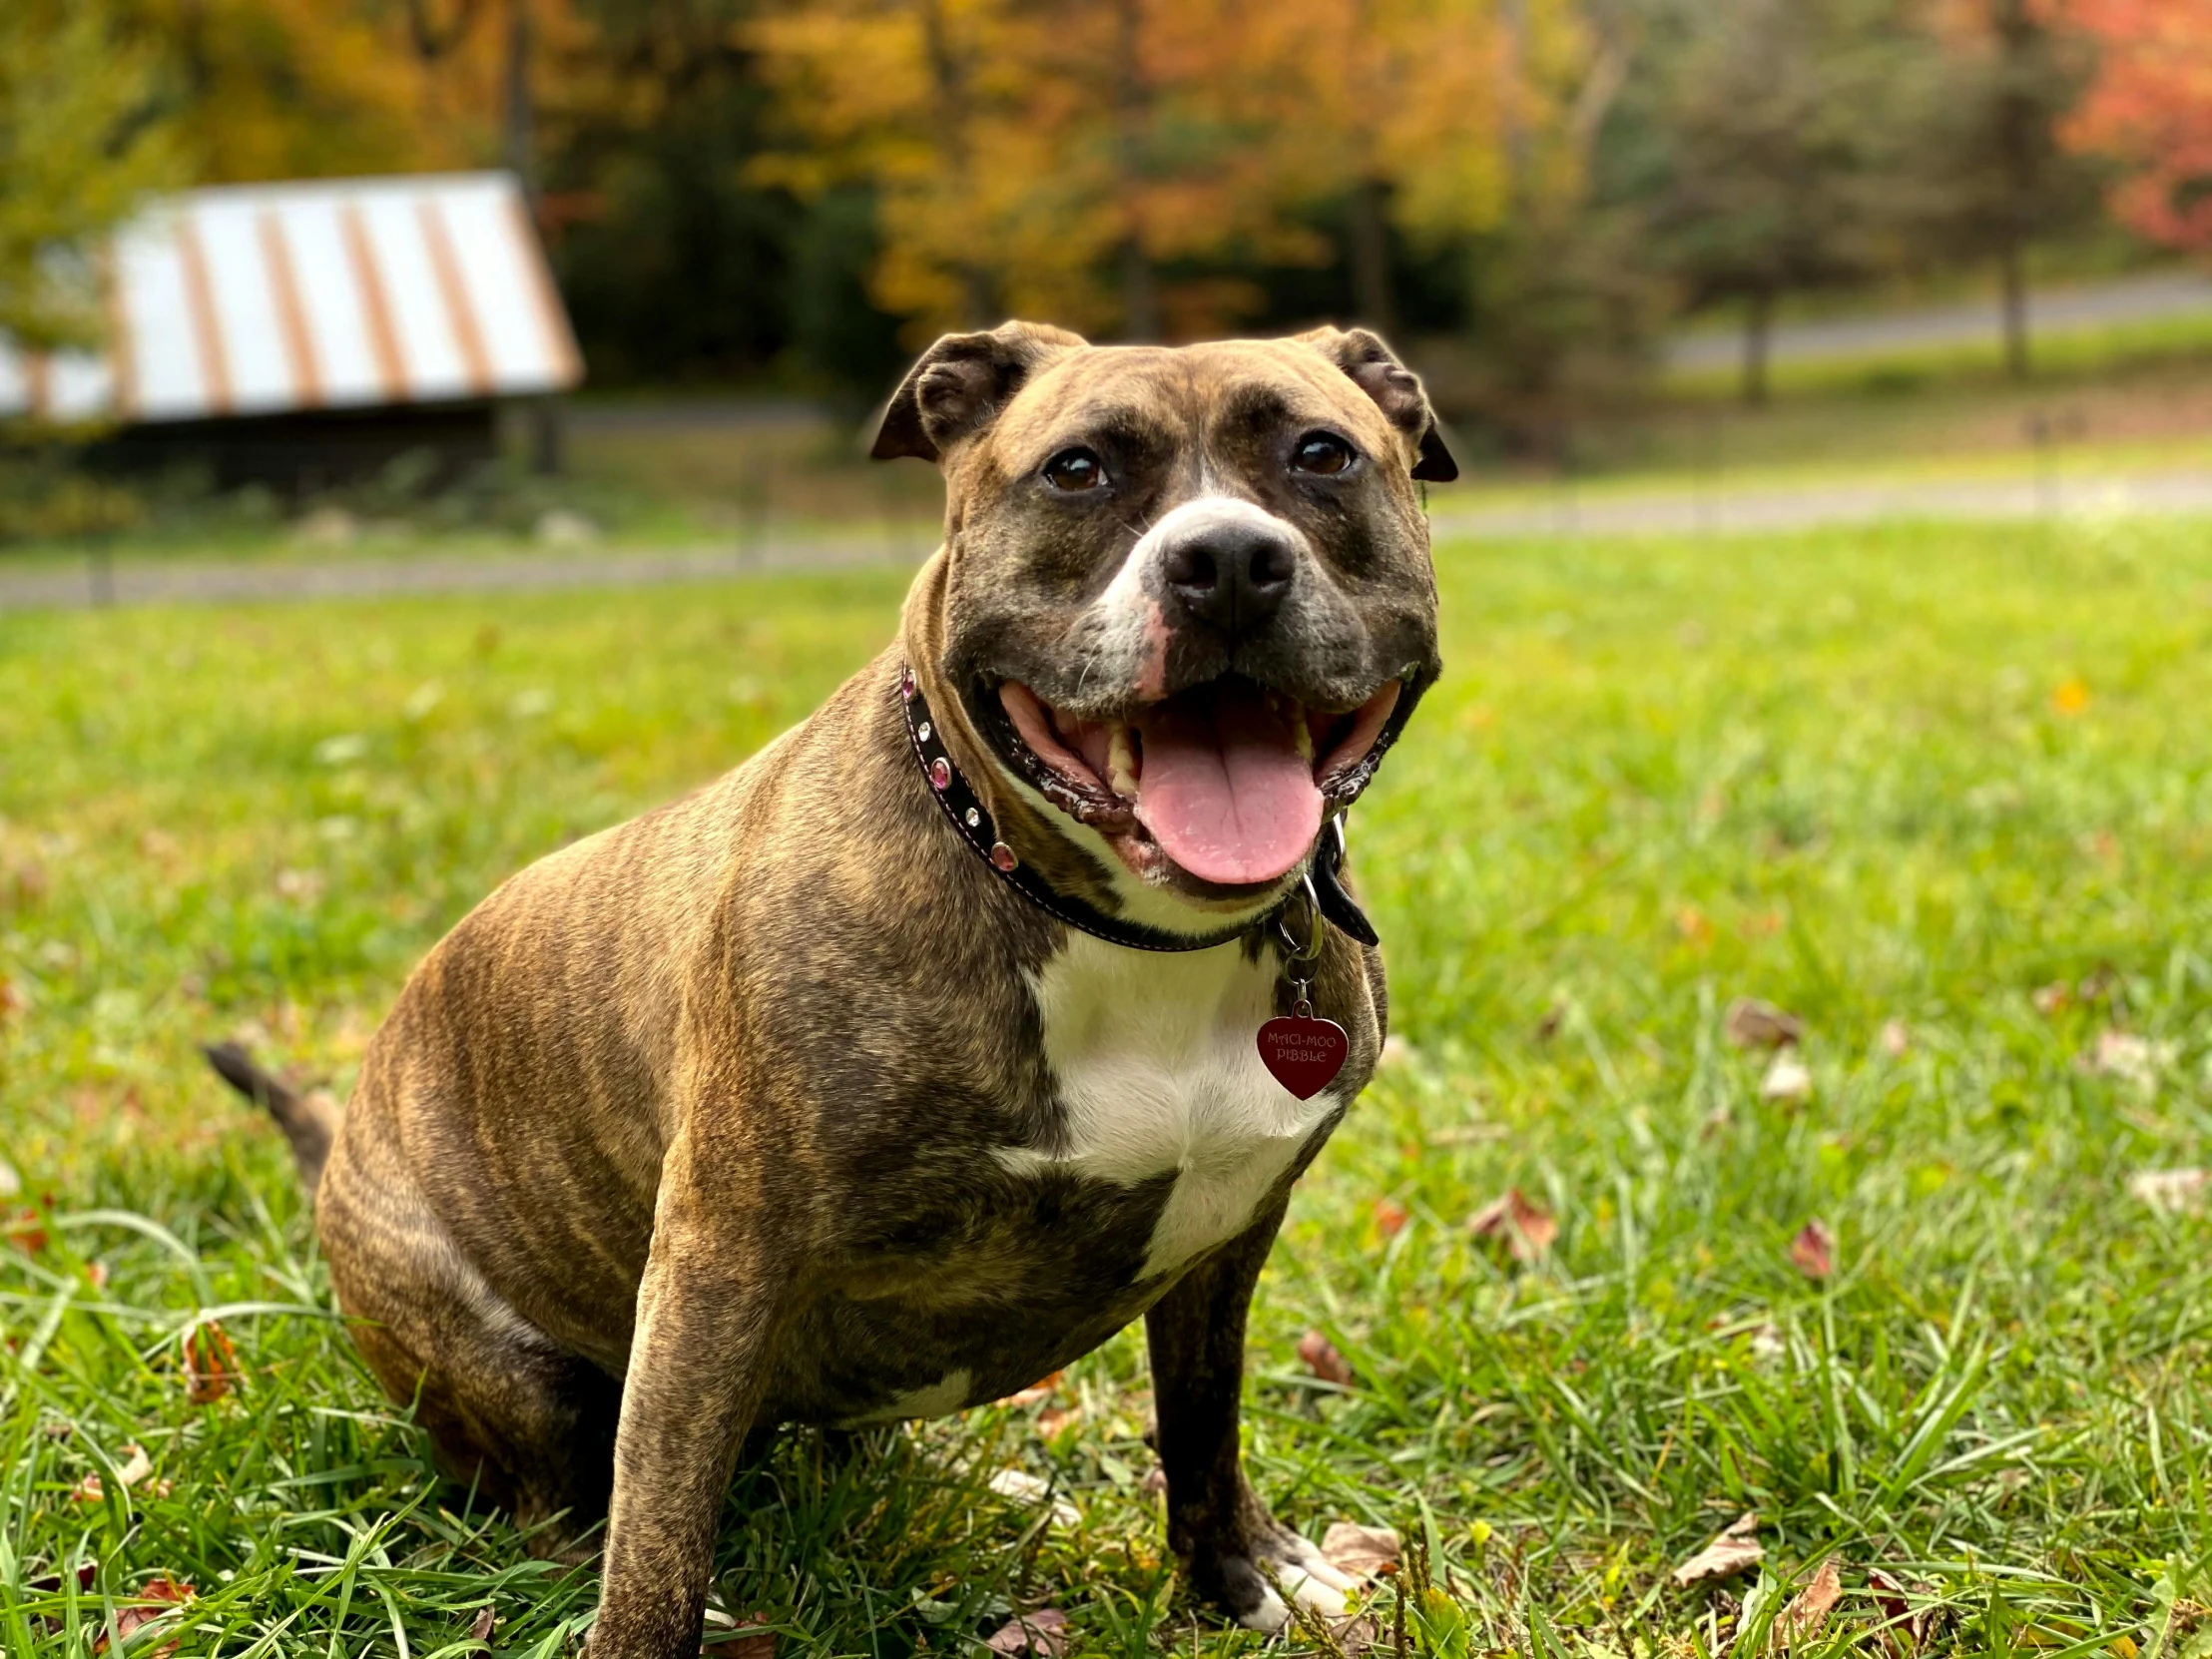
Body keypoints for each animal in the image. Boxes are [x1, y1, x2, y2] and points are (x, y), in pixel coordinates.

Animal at [208, 318, 1450, 1654]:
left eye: (1321, 454)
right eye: (1076, 470)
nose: (1223, 560)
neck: (1112, 924)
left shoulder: (1232, 1234)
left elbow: (1202, 1424)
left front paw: (1237, 1576)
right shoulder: (719, 1259)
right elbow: (660, 1528)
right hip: (496, 1358)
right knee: (566, 1501)